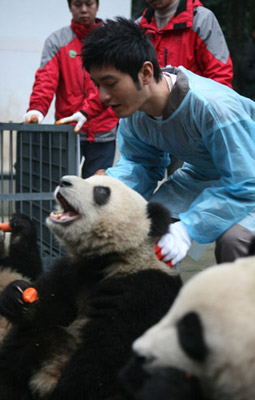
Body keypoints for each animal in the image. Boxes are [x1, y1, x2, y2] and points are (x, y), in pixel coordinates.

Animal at [0, 175, 183, 400]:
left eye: (101, 191)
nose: (63, 181)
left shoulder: (143, 290)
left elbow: (106, 350)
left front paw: (70, 390)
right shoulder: (73, 272)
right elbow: (49, 306)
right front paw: (16, 295)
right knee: (28, 341)